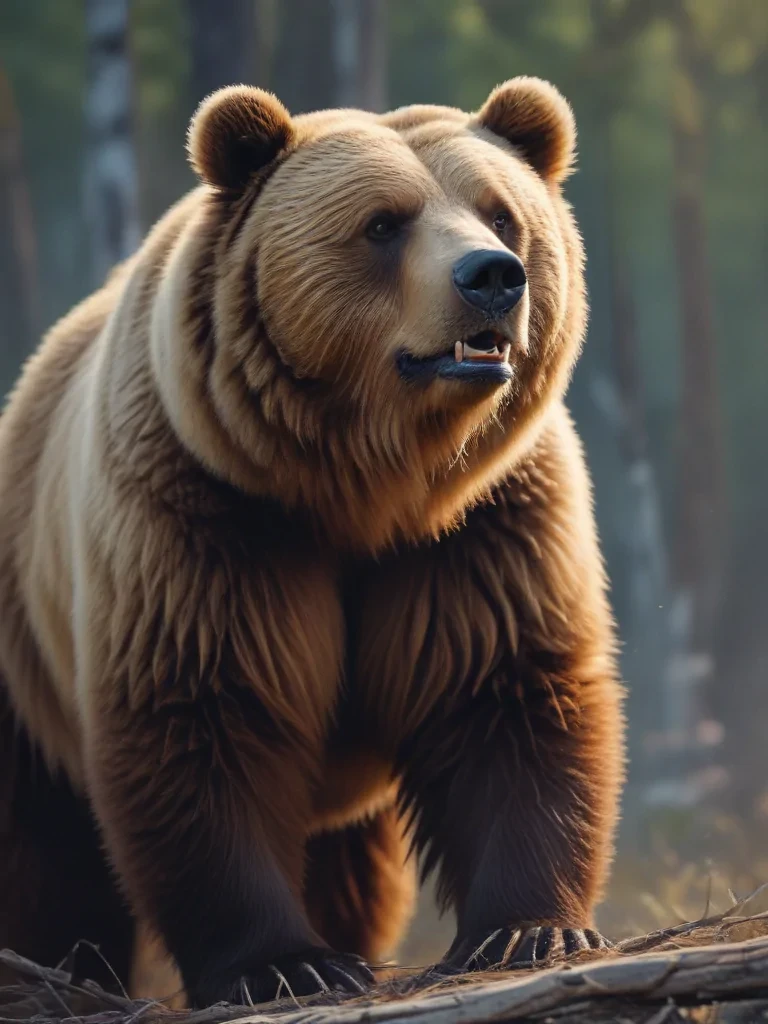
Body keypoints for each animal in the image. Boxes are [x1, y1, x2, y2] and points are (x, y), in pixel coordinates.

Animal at [0, 77, 624, 1006]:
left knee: (351, 862)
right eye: (384, 223)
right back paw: (61, 968)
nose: (492, 279)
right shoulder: (207, 514)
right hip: (24, 647)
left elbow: (507, 691)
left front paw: (530, 929)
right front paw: (282, 964)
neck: (364, 487)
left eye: (502, 214)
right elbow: (205, 713)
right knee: (45, 851)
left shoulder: (482, 527)